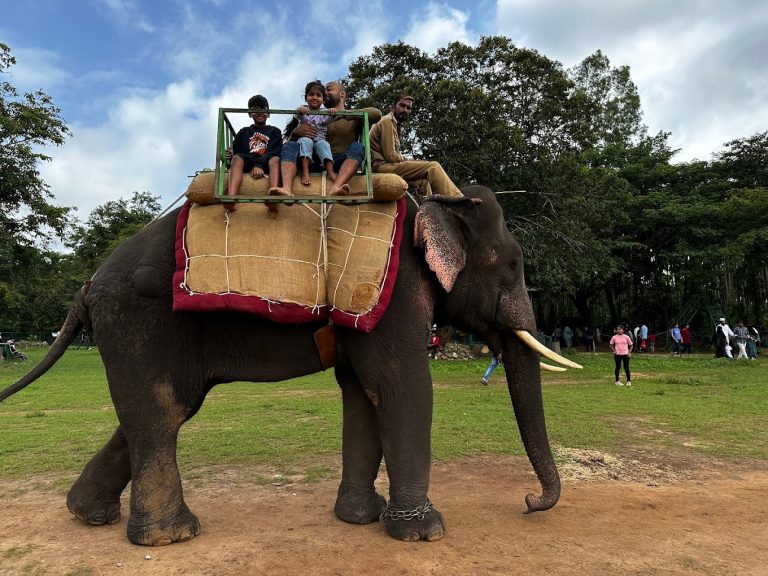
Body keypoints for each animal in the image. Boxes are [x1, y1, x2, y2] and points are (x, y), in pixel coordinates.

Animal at [0, 186, 578, 546]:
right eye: (514, 266)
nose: (529, 500)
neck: (437, 202)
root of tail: (87, 285)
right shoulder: (395, 293)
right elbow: (402, 385)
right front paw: (424, 534)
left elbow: (361, 391)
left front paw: (359, 520)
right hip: (140, 319)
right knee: (161, 414)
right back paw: (170, 537)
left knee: (158, 412)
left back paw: (90, 515)